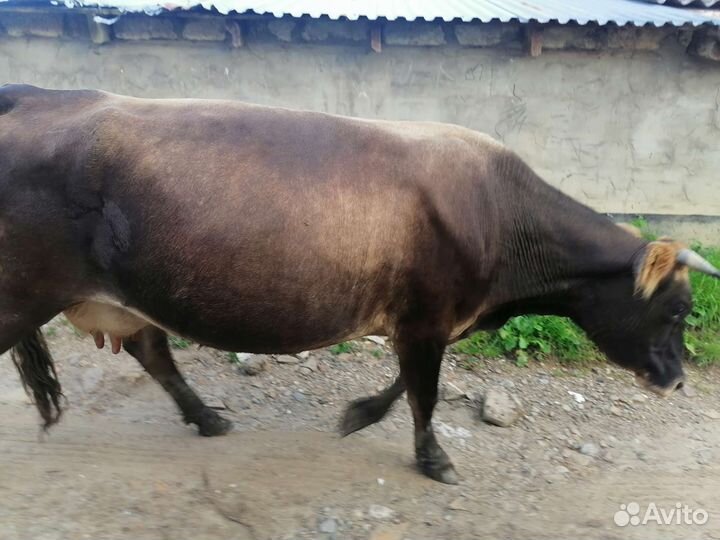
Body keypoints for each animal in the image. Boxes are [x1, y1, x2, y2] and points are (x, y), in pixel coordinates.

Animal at [2, 84, 718, 484]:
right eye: (678, 310)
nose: (677, 381)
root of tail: (37, 93)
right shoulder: (429, 315)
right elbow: (425, 393)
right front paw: (434, 461)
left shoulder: (428, 319)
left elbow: (407, 384)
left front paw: (359, 414)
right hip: (22, 293)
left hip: (128, 295)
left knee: (154, 352)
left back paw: (208, 418)